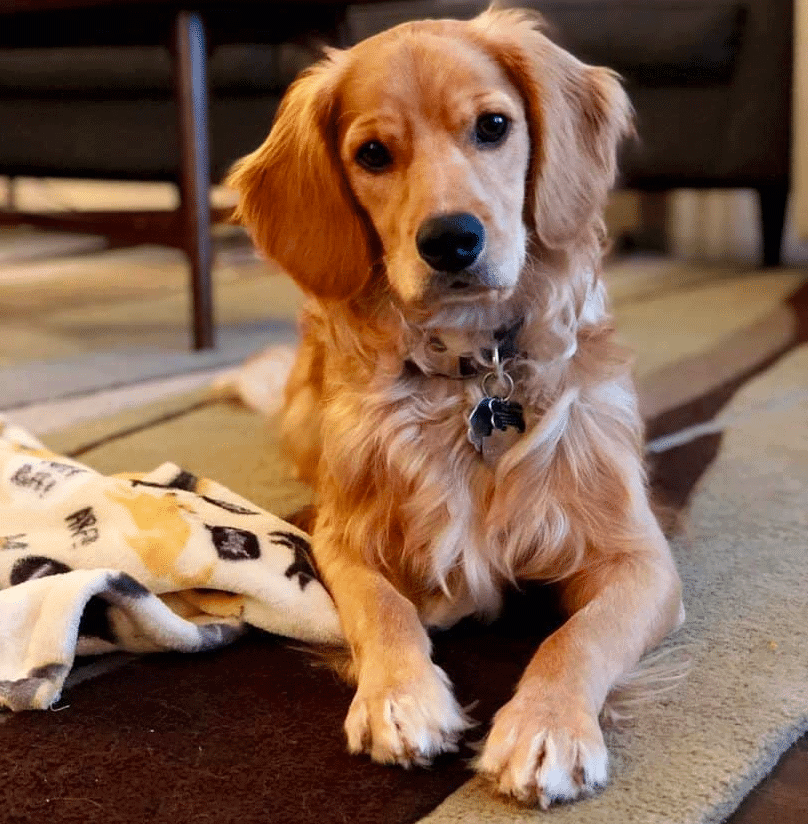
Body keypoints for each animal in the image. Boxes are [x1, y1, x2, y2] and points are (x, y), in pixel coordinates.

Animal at [226, 4, 680, 804]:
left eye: (493, 126)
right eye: (373, 154)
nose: (451, 240)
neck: (474, 373)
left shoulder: (640, 555)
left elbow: (578, 636)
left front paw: (546, 724)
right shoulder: (337, 536)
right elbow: (381, 607)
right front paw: (399, 695)